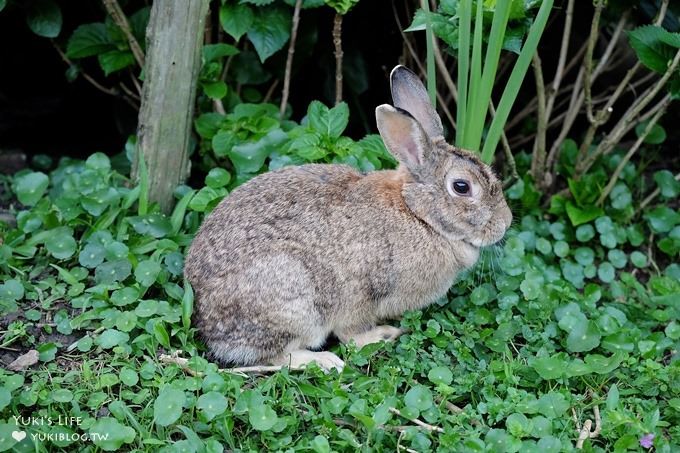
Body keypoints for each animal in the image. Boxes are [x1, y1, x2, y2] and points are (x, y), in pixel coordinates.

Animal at [183, 65, 512, 372]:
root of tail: (205, 316)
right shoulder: (361, 293)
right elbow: (351, 333)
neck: (418, 214)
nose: (506, 222)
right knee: (275, 356)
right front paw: (381, 335)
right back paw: (324, 361)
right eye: (462, 187)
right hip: (294, 302)